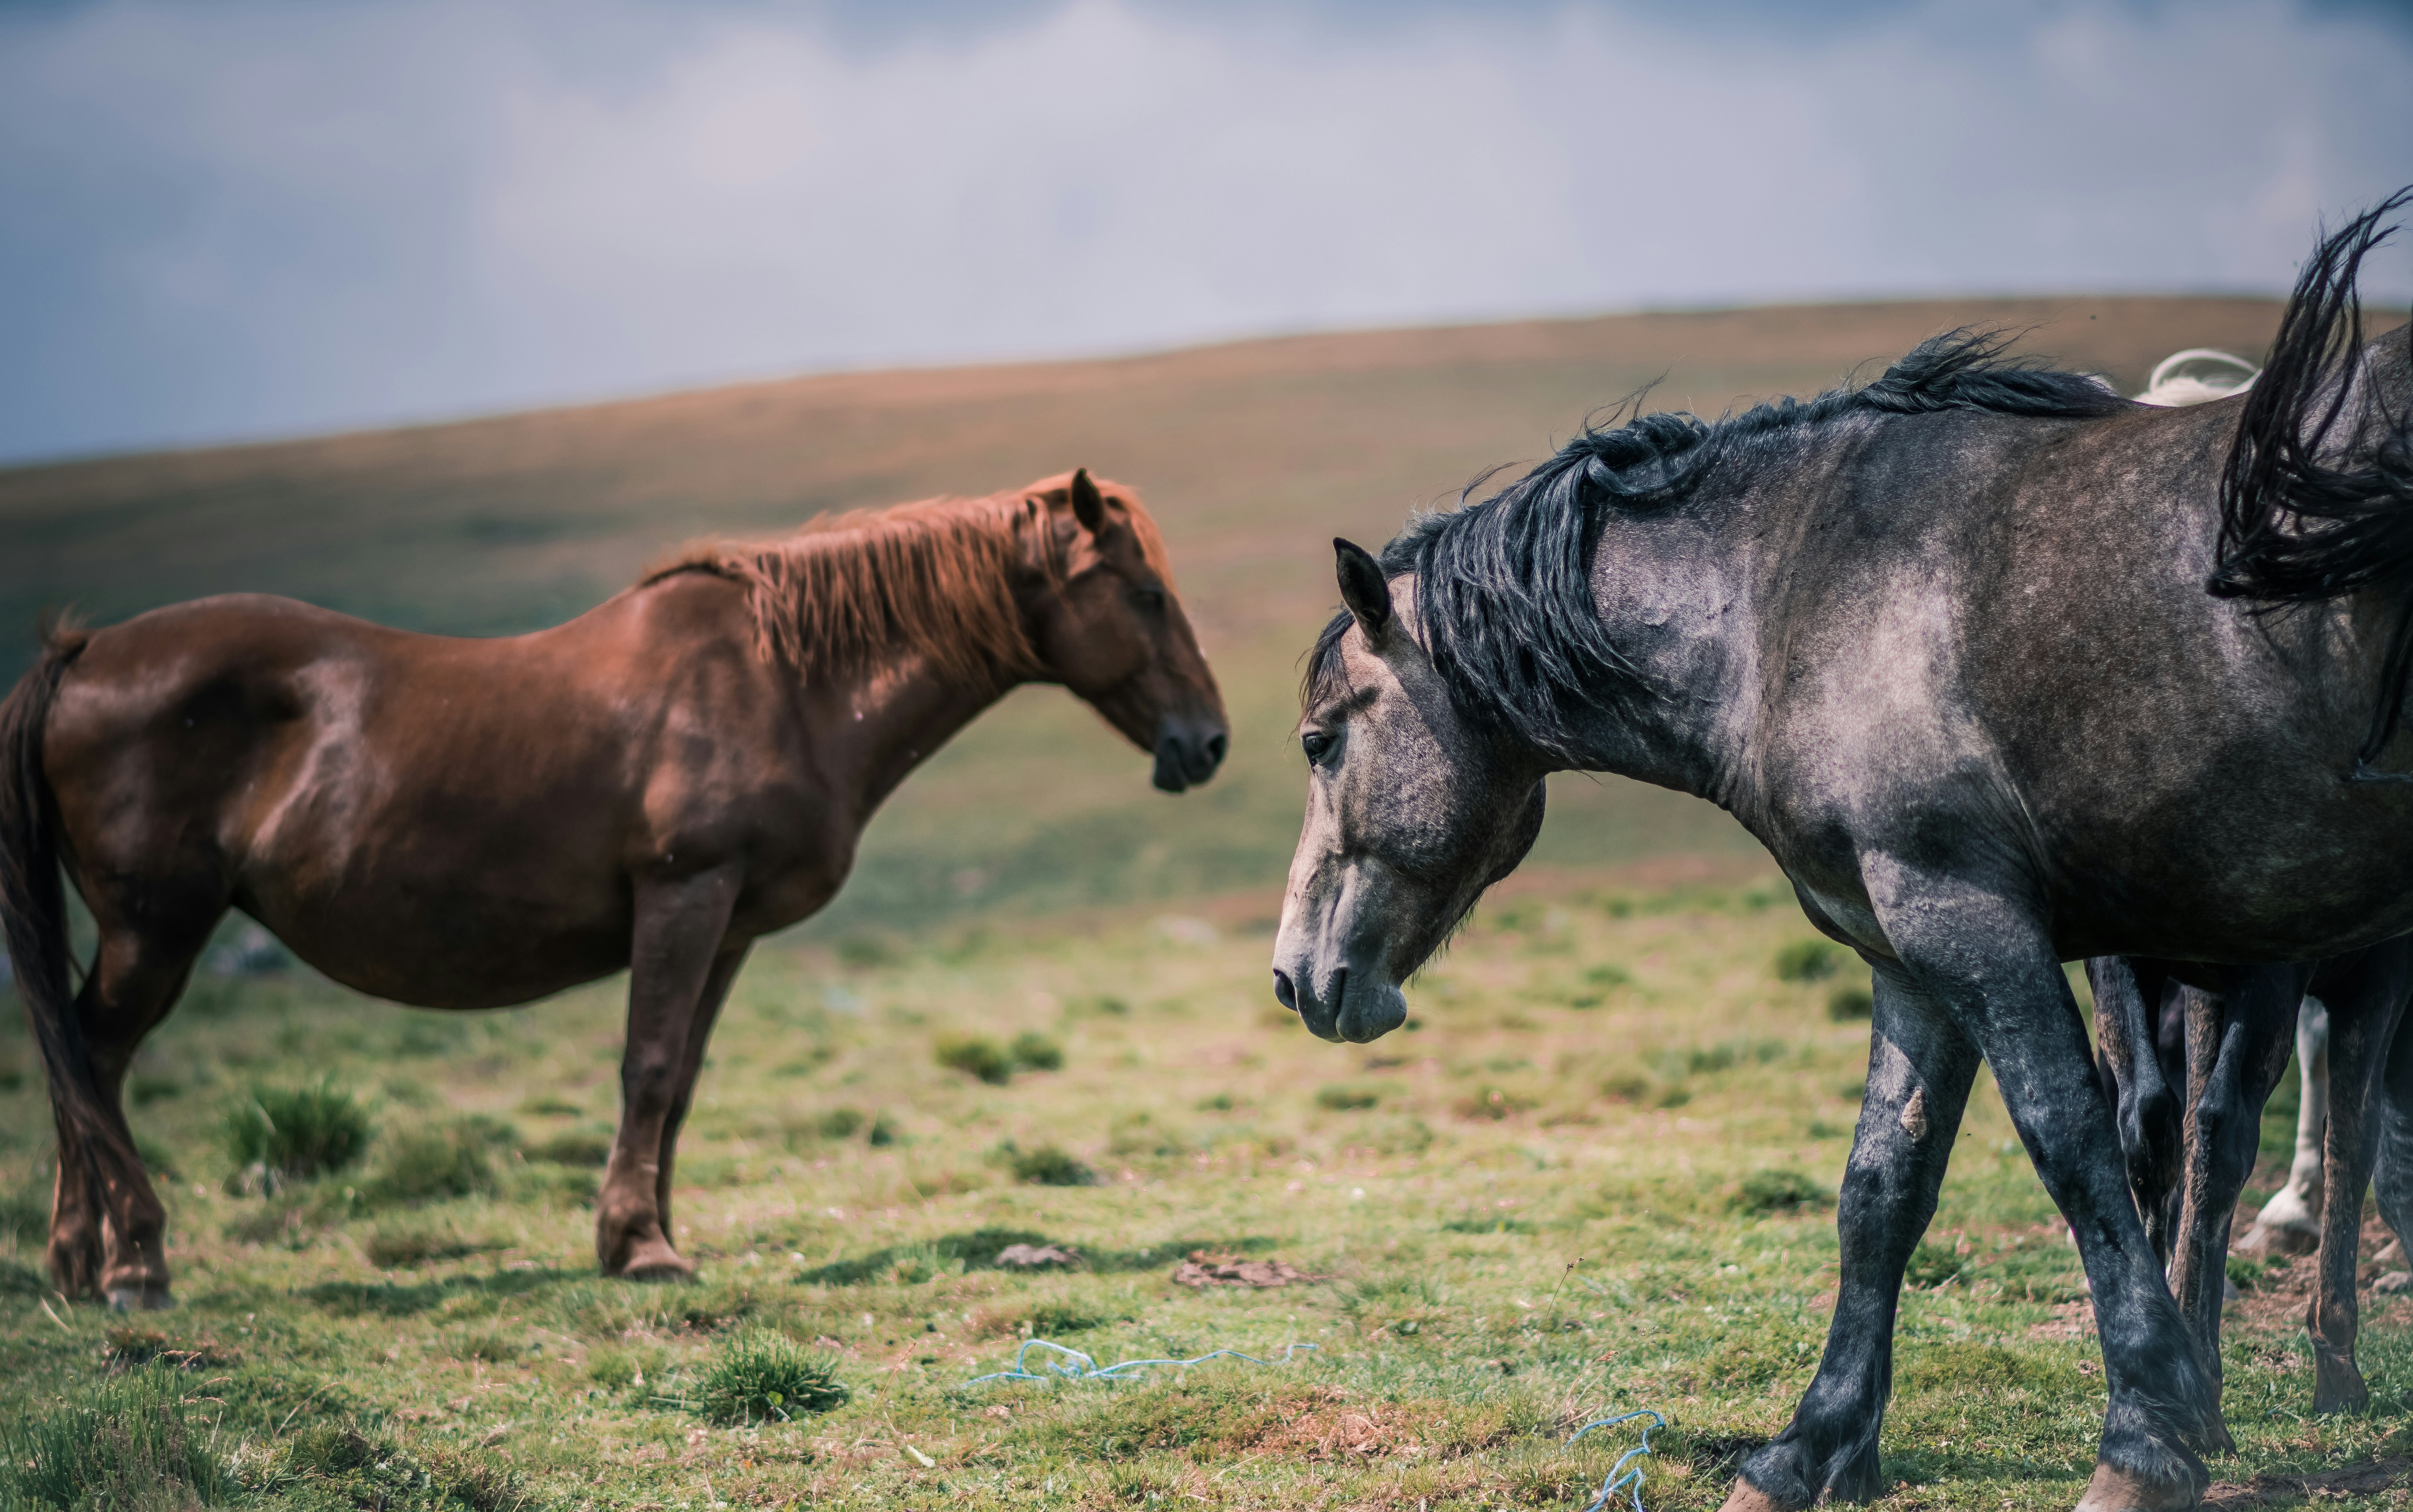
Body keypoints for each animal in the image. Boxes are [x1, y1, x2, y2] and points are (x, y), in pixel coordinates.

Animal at [0, 468, 1226, 1312]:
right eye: (1146, 594)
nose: (1207, 743)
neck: (783, 680)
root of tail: (86, 652)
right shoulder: (684, 896)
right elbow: (647, 1066)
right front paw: (641, 1248)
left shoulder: (729, 928)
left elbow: (679, 1082)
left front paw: (648, 1232)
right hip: (157, 930)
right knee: (94, 1062)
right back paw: (135, 1265)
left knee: (83, 1061)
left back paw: (75, 1265)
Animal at [1274, 189, 2403, 1512]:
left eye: (1318, 740)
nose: (1296, 976)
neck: (1793, 592)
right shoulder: (1910, 952)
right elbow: (1880, 1190)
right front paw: (1811, 1447)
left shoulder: (1967, 919)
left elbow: (2069, 1149)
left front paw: (2144, 1437)